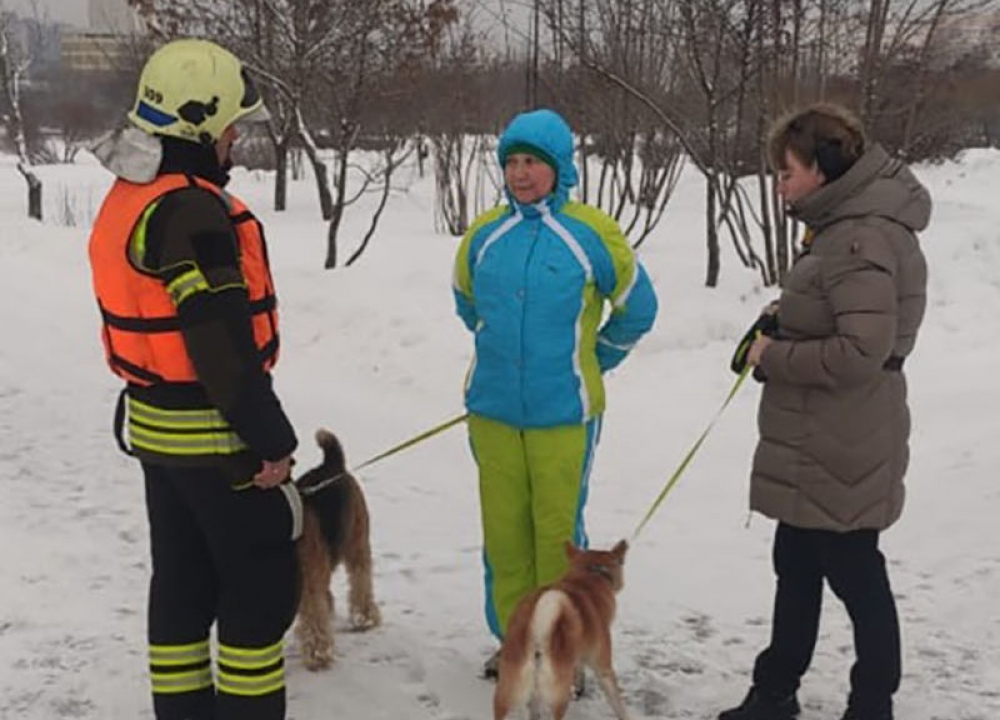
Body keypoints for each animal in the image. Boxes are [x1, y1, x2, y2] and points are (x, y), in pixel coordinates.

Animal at [494, 540, 632, 720]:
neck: (590, 574)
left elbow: (579, 668)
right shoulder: (603, 668)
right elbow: (617, 702)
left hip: (510, 687)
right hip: (558, 695)